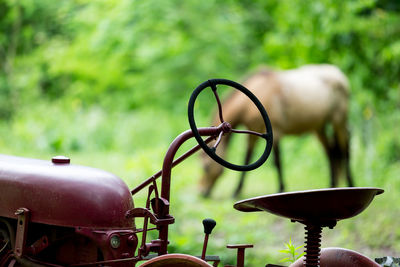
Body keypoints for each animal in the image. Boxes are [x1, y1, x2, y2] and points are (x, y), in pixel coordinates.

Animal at [199, 63, 354, 198]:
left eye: (206, 167)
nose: (202, 192)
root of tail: (339, 74)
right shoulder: (253, 133)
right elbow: (247, 158)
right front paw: (236, 191)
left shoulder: (276, 132)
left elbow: (277, 162)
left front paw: (281, 188)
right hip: (319, 127)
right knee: (331, 152)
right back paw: (332, 185)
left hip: (338, 121)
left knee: (345, 149)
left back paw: (350, 184)